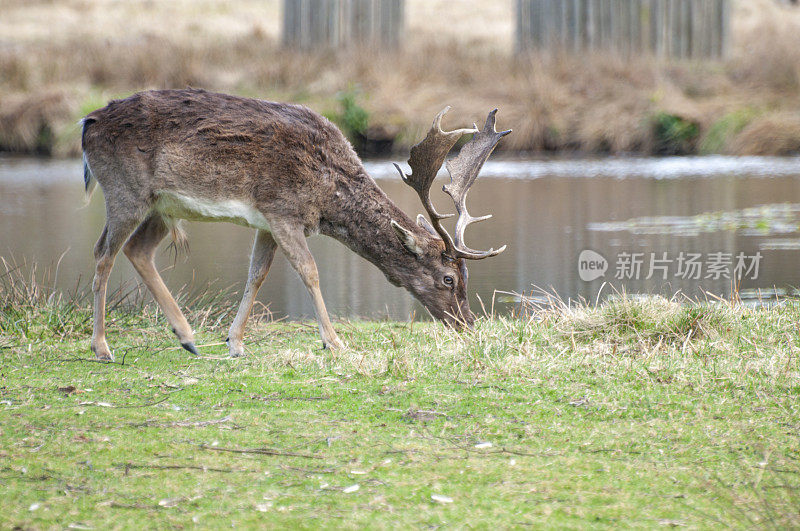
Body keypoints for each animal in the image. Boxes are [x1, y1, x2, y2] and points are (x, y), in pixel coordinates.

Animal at [79, 88, 506, 362]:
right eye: (448, 279)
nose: (468, 324)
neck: (328, 193)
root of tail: (87, 123)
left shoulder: (267, 220)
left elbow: (257, 275)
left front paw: (235, 343)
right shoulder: (283, 209)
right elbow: (309, 271)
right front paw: (334, 343)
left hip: (162, 207)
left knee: (138, 250)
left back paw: (187, 338)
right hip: (125, 190)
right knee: (102, 253)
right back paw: (102, 347)